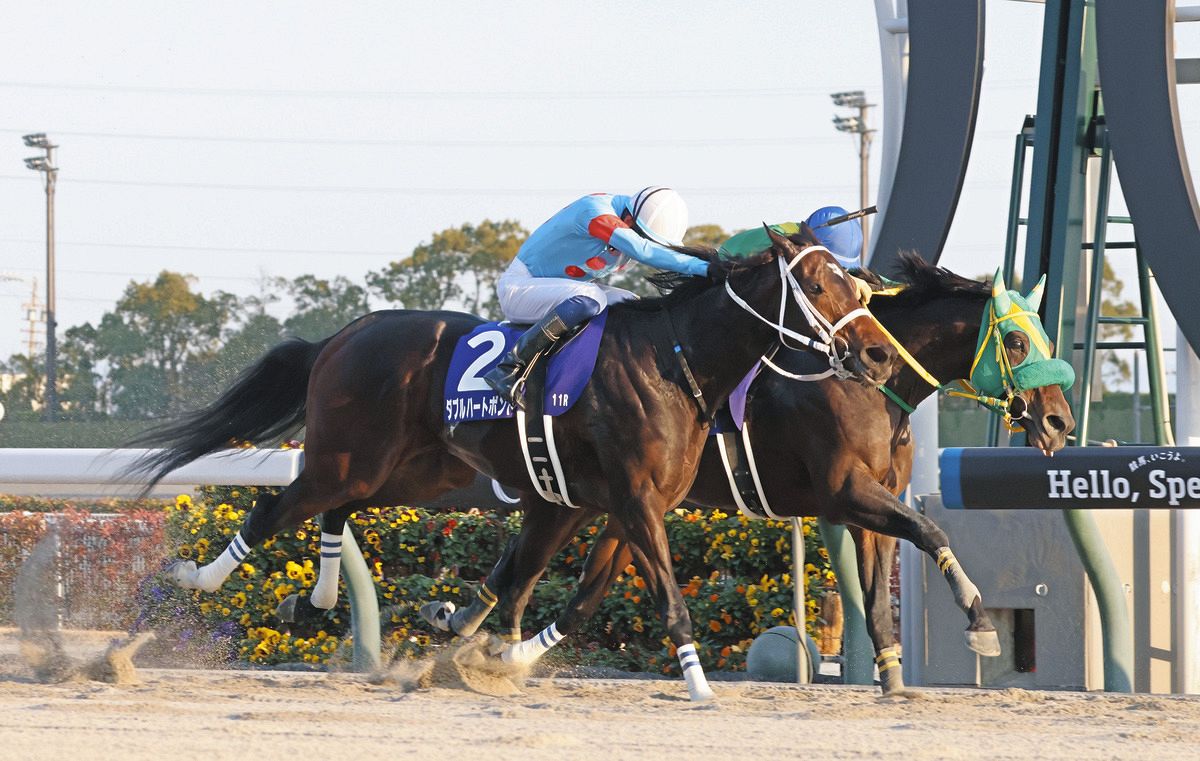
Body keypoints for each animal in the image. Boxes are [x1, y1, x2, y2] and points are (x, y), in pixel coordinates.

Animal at [131, 226, 897, 702]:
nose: (879, 354)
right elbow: (666, 601)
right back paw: (197, 578)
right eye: (820, 287)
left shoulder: (585, 501)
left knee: (334, 508)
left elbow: (524, 585)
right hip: (352, 455)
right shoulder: (634, 500)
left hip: (413, 469)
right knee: (277, 505)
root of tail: (341, 336)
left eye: (858, 287)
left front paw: (479, 651)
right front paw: (701, 687)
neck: (674, 359)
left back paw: (315, 595)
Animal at [416, 254, 1076, 695]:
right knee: (540, 577)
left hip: (596, 501)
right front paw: (979, 622)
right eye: (1016, 341)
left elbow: (880, 595)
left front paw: (893, 681)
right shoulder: (845, 494)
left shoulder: (875, 503)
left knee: (550, 582)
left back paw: (467, 630)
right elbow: (932, 531)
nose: (1059, 422)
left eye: (1045, 335)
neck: (866, 386)